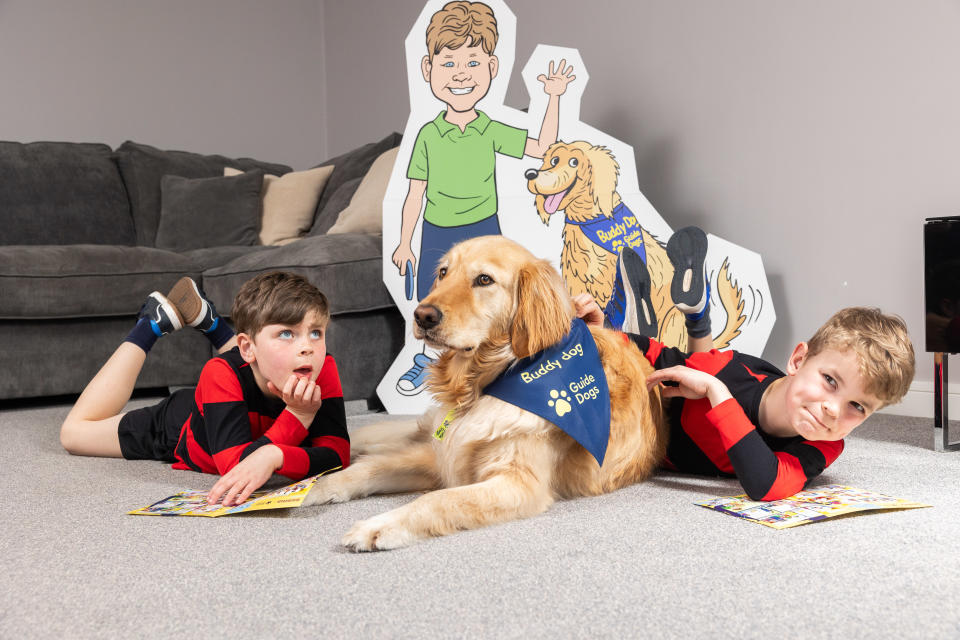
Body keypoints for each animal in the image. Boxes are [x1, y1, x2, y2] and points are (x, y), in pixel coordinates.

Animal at [306, 235, 668, 552]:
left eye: (484, 280)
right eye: (443, 272)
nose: (422, 315)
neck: (480, 383)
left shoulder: (517, 483)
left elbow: (438, 498)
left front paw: (379, 526)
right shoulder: (444, 455)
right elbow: (370, 469)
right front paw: (316, 487)